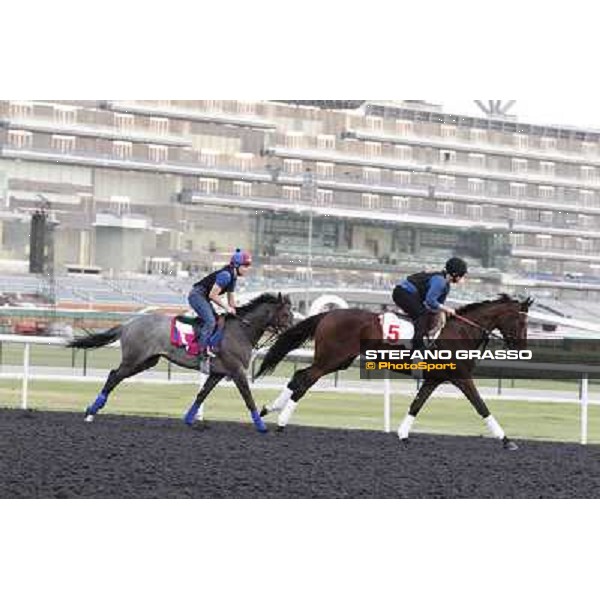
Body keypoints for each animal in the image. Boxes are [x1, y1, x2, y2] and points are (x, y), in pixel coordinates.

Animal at [68, 292, 292, 434]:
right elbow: (248, 397)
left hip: (147, 361)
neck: (240, 330)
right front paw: (261, 425)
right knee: (114, 375)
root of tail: (128, 324)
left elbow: (202, 394)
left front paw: (190, 419)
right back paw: (92, 411)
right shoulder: (236, 371)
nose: (292, 331)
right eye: (285, 314)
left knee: (115, 376)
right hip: (134, 359)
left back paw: (92, 410)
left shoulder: (217, 373)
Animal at [255, 292, 532, 448]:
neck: (461, 332)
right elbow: (481, 406)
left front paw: (403, 434)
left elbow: (417, 404)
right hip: (332, 359)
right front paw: (507, 441)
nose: (522, 347)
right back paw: (281, 421)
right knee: (305, 380)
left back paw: (270, 408)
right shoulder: (461, 377)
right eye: (520, 321)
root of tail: (328, 314)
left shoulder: (434, 379)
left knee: (298, 376)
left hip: (339, 360)